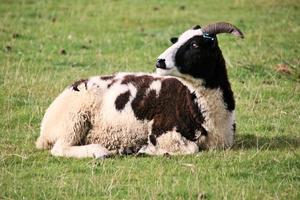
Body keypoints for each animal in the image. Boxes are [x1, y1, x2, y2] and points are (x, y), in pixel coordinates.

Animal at [36, 21, 244, 159]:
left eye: (195, 44)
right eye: (177, 40)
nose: (160, 61)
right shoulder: (162, 131)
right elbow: (192, 148)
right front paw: (147, 150)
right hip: (74, 119)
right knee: (60, 148)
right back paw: (101, 151)